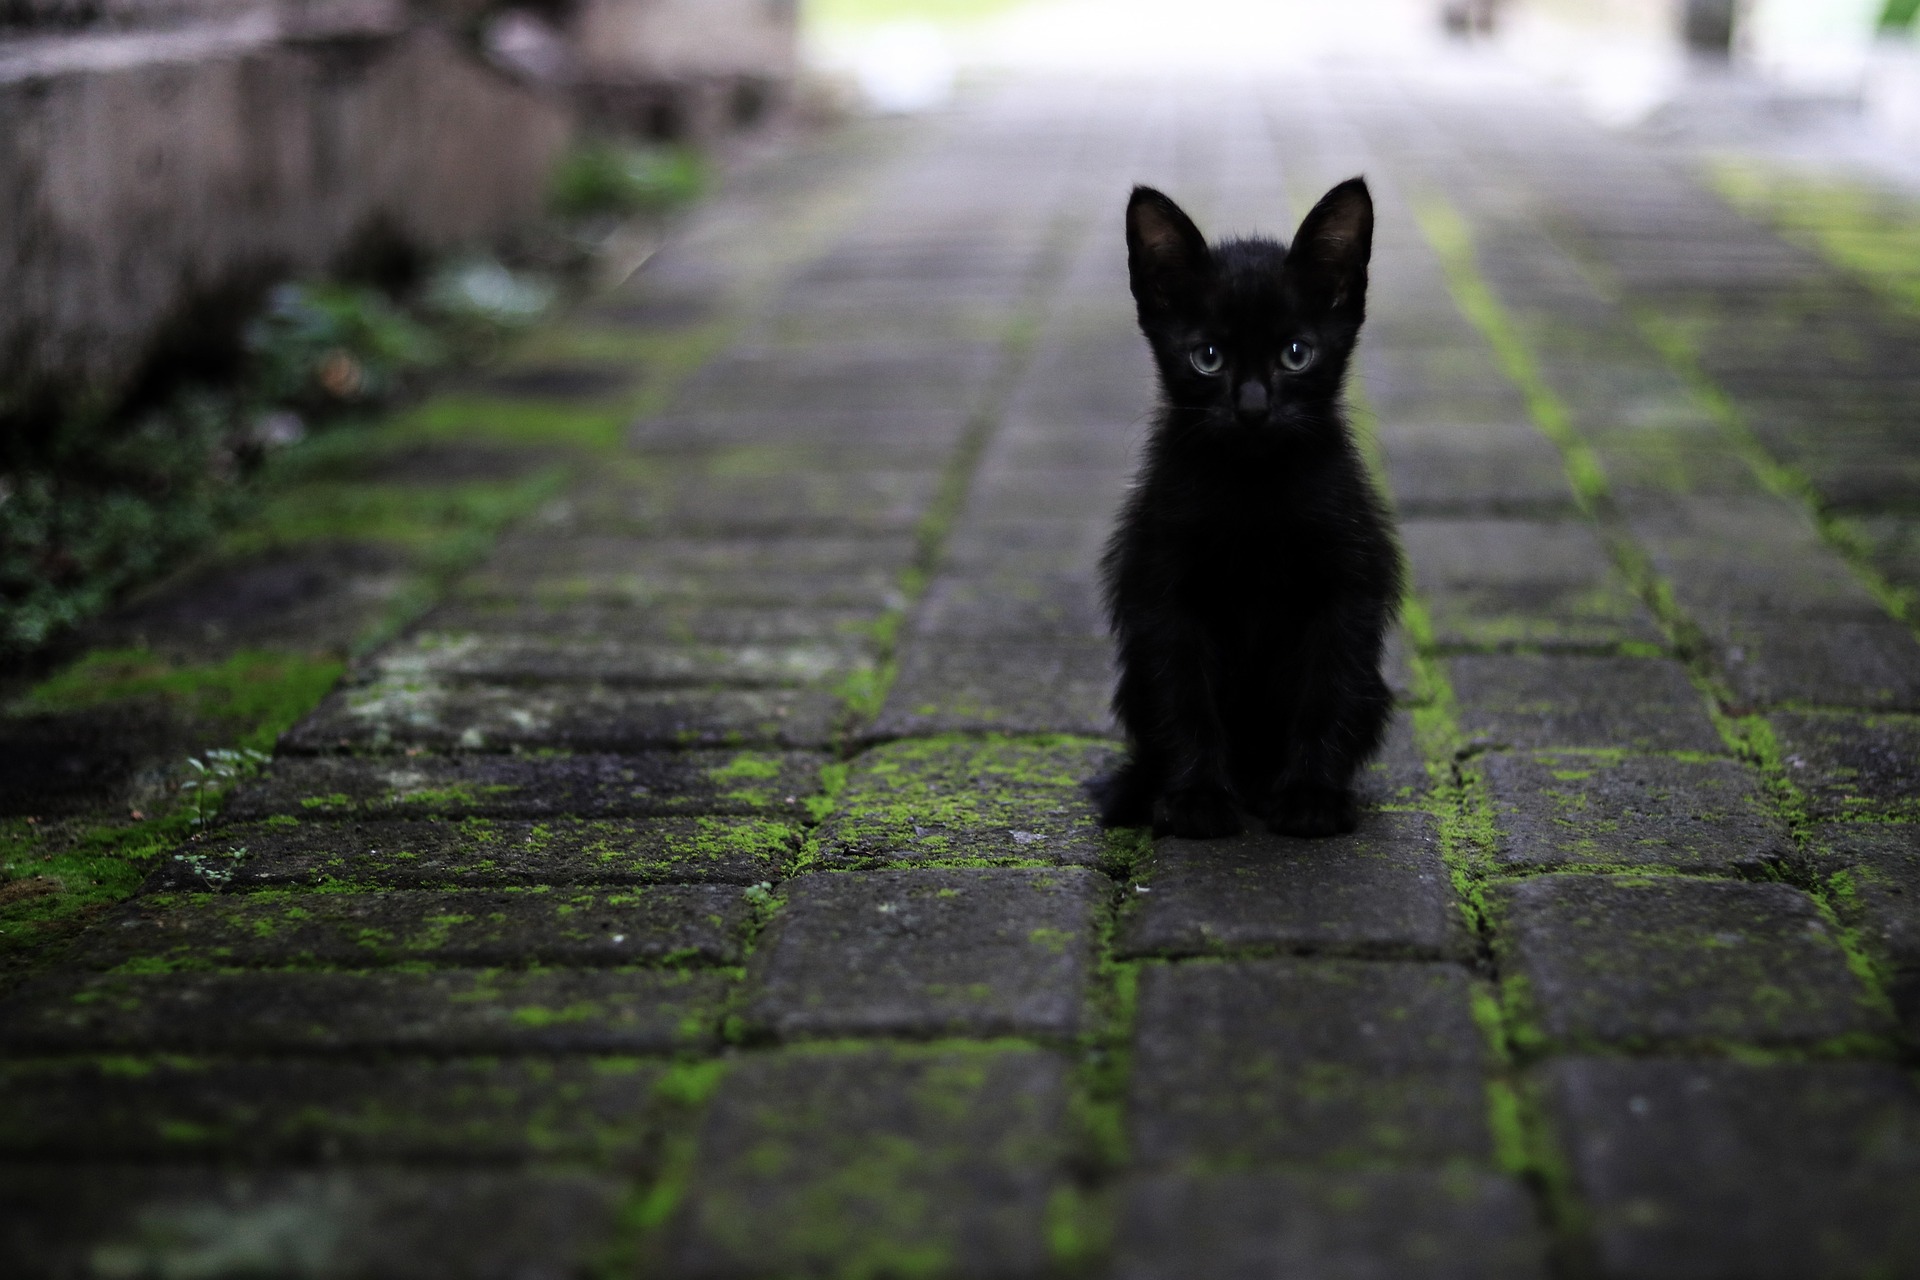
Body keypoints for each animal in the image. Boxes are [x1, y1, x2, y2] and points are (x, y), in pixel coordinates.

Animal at [1105, 180, 1405, 840]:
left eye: (1296, 354)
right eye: (1208, 358)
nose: (1251, 409)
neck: (1254, 490)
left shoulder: (1346, 587)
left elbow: (1326, 690)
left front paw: (1311, 796)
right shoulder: (1163, 591)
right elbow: (1184, 695)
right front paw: (1196, 799)